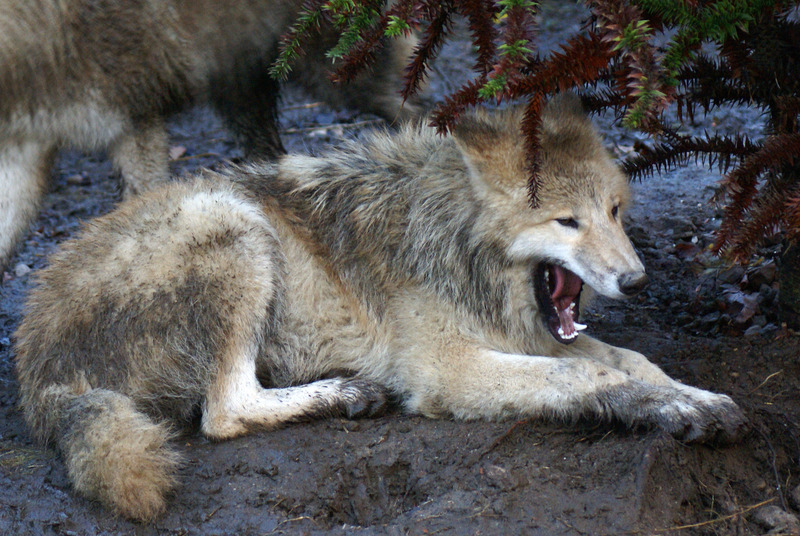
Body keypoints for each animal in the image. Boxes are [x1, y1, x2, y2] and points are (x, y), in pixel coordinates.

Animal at [0, 0, 419, 269]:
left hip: (337, 75)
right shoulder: (23, 147)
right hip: (241, 85)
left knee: (416, 109)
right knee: (268, 160)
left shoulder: (137, 119)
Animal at [14, 94, 747, 521]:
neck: (454, 235)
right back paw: (345, 393)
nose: (638, 281)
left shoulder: (531, 333)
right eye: (567, 221)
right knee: (224, 411)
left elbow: (633, 358)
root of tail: (35, 368)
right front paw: (654, 408)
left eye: (616, 211)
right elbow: (586, 374)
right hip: (230, 222)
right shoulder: (449, 368)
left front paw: (694, 399)